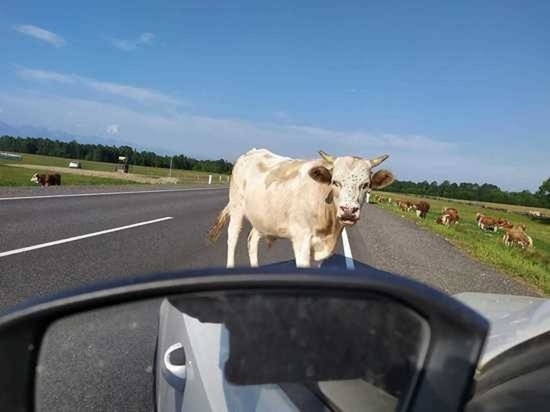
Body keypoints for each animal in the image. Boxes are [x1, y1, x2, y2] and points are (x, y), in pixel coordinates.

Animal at [208, 148, 396, 268]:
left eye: (366, 185)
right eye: (335, 182)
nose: (349, 211)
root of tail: (250, 153)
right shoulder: (301, 239)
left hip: (263, 217)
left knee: (252, 239)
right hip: (237, 207)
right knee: (232, 237)